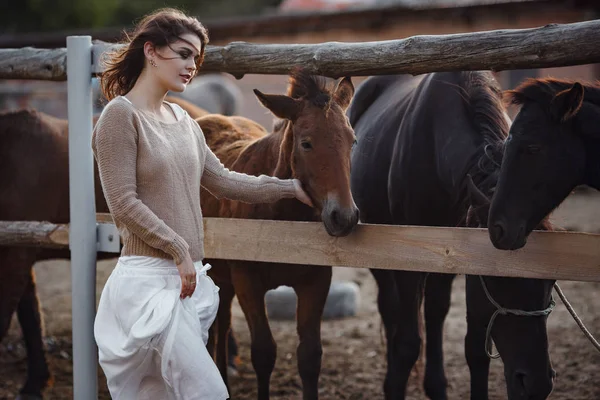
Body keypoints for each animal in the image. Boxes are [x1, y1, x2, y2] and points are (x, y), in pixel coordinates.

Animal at [197, 67, 358, 398]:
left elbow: (309, 356)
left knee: (222, 323)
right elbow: (263, 352)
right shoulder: (247, 280)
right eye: (306, 143)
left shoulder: (315, 281)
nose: (344, 217)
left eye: (353, 141)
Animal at [350, 72, 556, 400]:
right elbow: (408, 343)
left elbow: (475, 347)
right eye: (498, 279)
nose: (537, 384)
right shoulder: (408, 262)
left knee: (434, 313)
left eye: (552, 280)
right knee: (390, 308)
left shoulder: (463, 258)